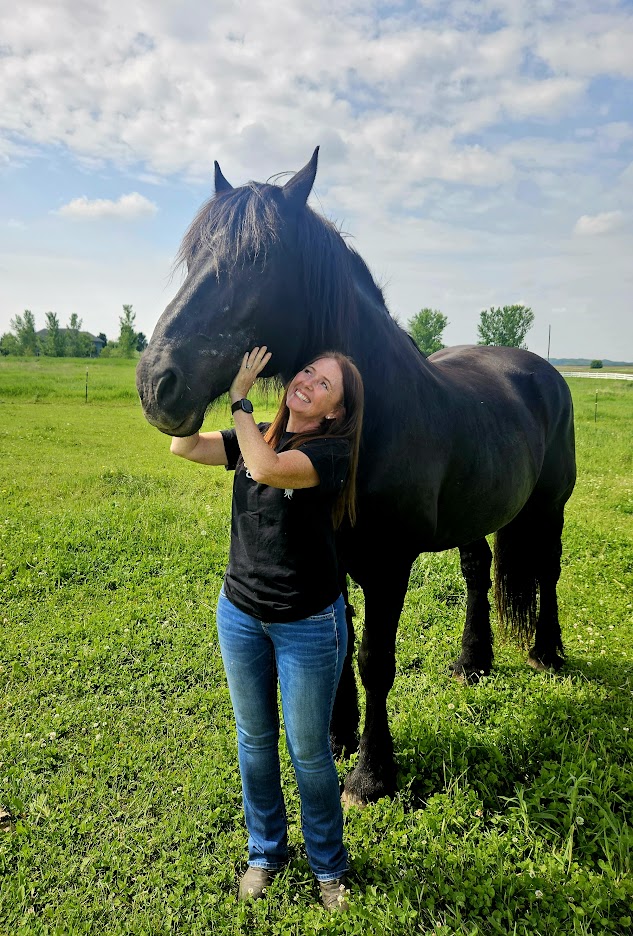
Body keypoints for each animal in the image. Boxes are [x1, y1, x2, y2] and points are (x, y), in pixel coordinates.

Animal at [136, 148, 576, 806]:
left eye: (259, 260)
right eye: (193, 257)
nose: (156, 384)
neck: (373, 417)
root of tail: (539, 370)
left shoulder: (390, 565)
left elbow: (374, 660)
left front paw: (371, 774)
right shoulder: (331, 556)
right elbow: (335, 643)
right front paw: (336, 736)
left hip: (550, 506)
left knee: (546, 568)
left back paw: (548, 652)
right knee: (478, 570)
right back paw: (473, 662)